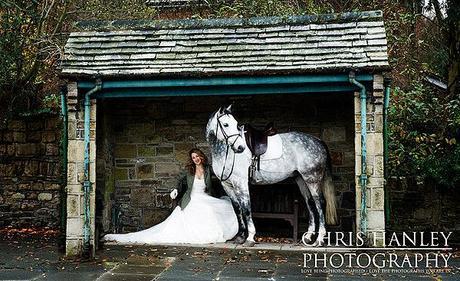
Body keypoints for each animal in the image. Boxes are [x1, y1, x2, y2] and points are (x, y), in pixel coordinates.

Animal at [206, 104, 338, 245]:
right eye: (225, 124)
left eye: (236, 124)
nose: (240, 147)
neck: (226, 152)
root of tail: (318, 141)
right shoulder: (227, 184)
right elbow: (237, 208)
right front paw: (240, 236)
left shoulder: (240, 183)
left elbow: (246, 208)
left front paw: (250, 237)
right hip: (302, 179)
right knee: (310, 203)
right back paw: (308, 237)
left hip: (312, 179)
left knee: (320, 203)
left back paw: (319, 240)